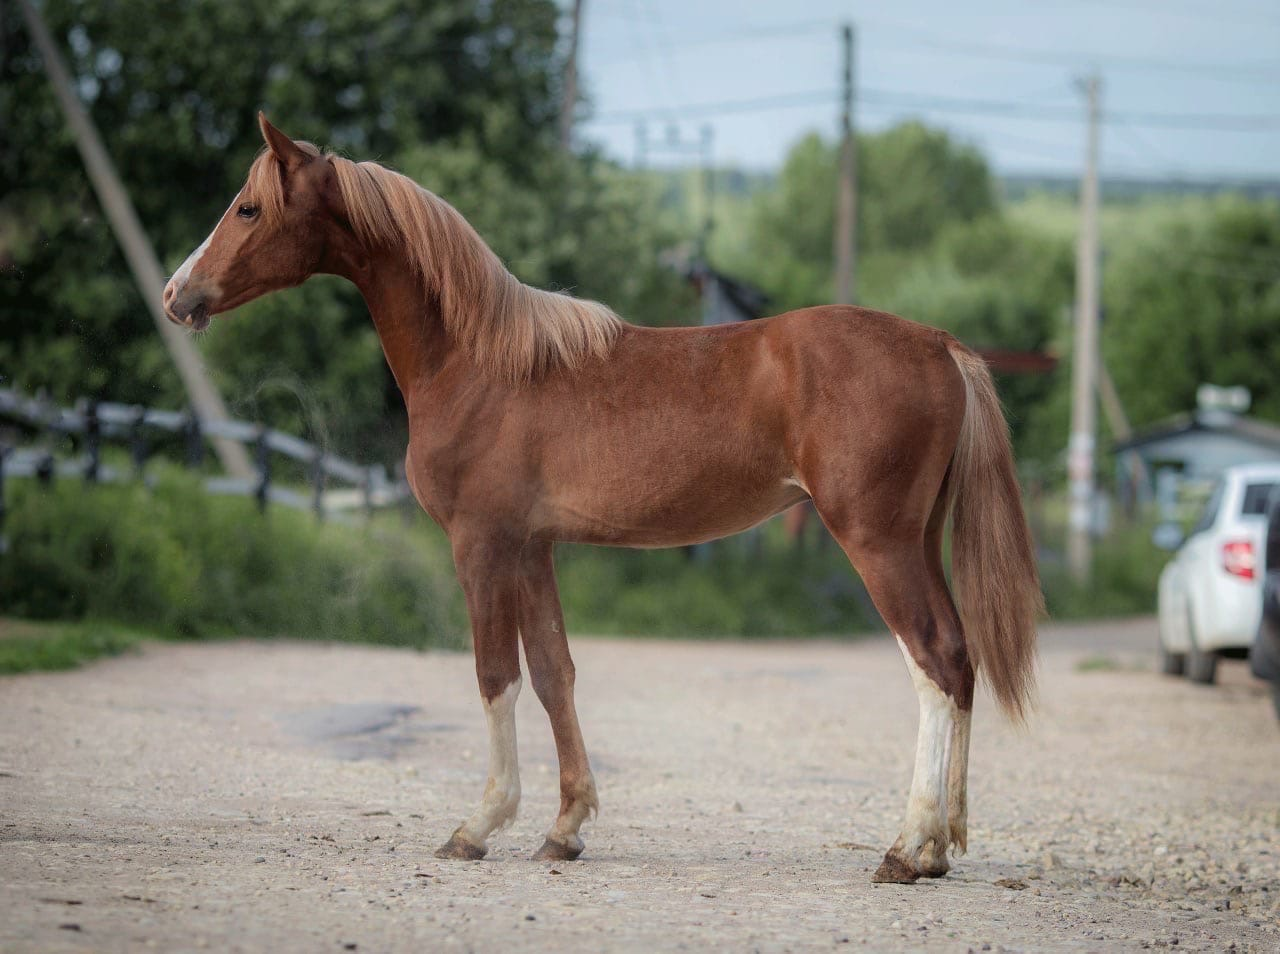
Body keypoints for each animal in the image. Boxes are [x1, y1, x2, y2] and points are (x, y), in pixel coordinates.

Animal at [162, 115, 1039, 881]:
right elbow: (555, 673)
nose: (177, 295)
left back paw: (909, 848)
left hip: (877, 542)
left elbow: (494, 675)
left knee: (933, 661)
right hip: (918, 540)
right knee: (961, 662)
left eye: (248, 207)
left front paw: (478, 826)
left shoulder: (481, 543)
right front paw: (565, 828)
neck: (481, 361)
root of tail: (940, 345)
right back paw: (942, 844)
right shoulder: (532, 546)